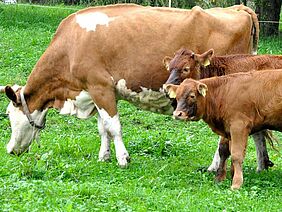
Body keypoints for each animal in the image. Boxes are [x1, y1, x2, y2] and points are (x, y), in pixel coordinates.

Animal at [1, 2, 258, 167]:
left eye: (9, 115)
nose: (10, 150)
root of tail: (237, 8)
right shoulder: (95, 90)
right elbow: (103, 127)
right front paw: (103, 157)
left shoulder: (100, 86)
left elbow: (114, 126)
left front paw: (123, 159)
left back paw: (215, 166)